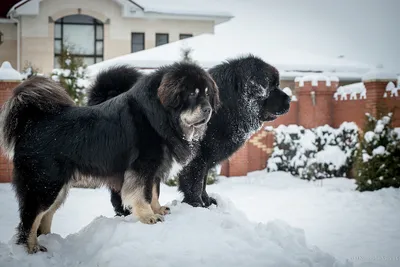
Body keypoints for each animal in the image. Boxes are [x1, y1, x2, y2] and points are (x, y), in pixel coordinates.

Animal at [0, 61, 219, 254]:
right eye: (192, 93)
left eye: (208, 94)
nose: (208, 109)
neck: (160, 114)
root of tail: (31, 123)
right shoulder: (142, 166)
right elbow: (143, 194)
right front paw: (148, 216)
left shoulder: (155, 168)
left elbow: (154, 192)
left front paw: (157, 210)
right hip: (44, 185)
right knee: (30, 219)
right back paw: (31, 248)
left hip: (58, 188)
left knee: (45, 216)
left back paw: (47, 240)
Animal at [87, 54, 290, 214]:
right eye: (272, 87)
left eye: (277, 85)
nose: (289, 99)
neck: (230, 105)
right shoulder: (196, 159)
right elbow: (194, 182)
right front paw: (197, 205)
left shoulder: (206, 159)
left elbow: (203, 182)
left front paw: (207, 202)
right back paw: (125, 211)